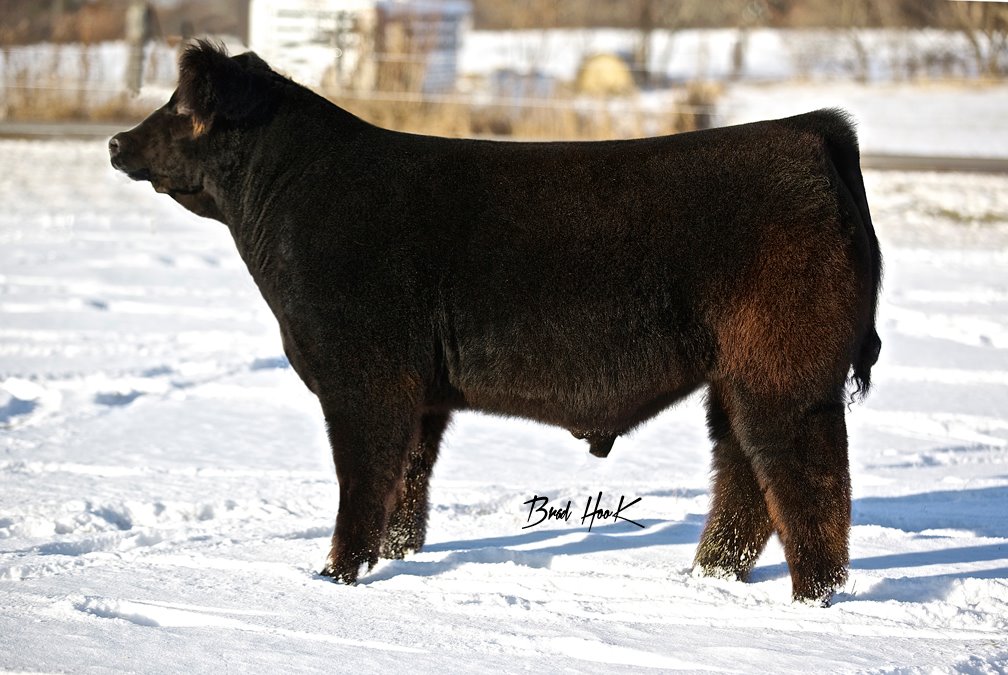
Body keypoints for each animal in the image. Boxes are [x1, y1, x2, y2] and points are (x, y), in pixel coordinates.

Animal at [109, 41, 882, 605]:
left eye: (179, 107)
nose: (116, 142)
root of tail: (809, 131)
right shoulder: (419, 394)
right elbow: (406, 487)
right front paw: (391, 560)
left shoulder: (363, 378)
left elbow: (362, 480)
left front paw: (334, 576)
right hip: (737, 377)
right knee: (745, 480)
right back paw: (705, 578)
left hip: (786, 375)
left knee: (809, 484)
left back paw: (811, 598)